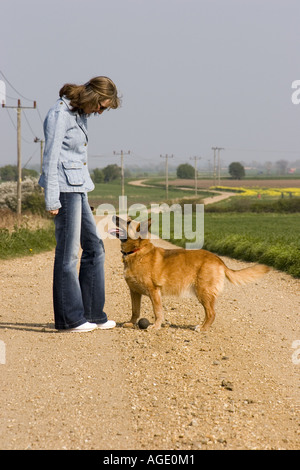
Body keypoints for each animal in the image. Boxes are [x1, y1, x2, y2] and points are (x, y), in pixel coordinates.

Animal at [110, 216, 270, 330]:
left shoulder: (154, 292)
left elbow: (157, 312)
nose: (114, 215)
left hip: (203, 292)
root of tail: (218, 260)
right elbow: (135, 310)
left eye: (128, 221)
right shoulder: (134, 292)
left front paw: (155, 326)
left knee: (211, 313)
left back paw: (202, 328)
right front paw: (131, 323)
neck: (136, 252)